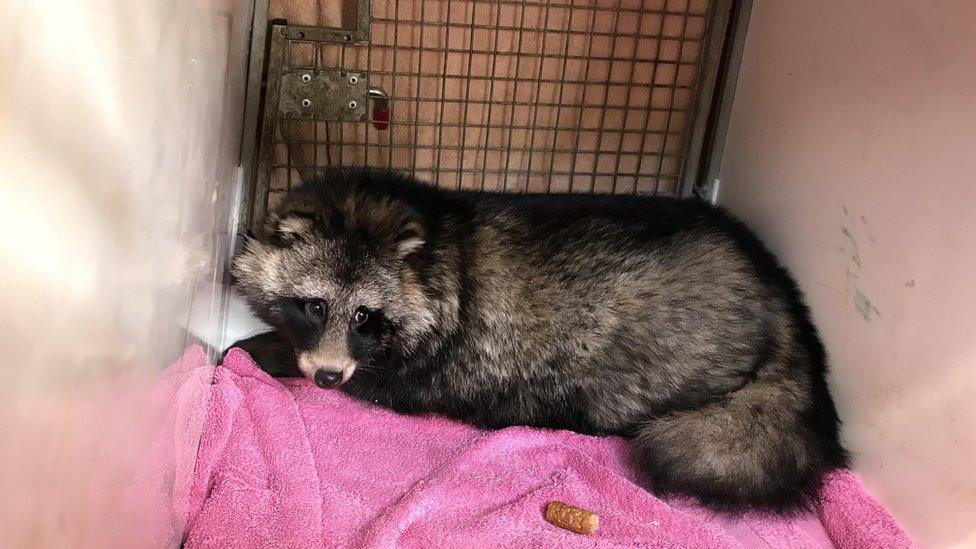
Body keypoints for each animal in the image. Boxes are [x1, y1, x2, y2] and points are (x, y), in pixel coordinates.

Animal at [231, 167, 848, 510]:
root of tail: (776, 289)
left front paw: (266, 350)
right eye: (314, 306)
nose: (327, 375)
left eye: (364, 317)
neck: (440, 247)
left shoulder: (441, 363)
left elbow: (386, 382)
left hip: (655, 349)